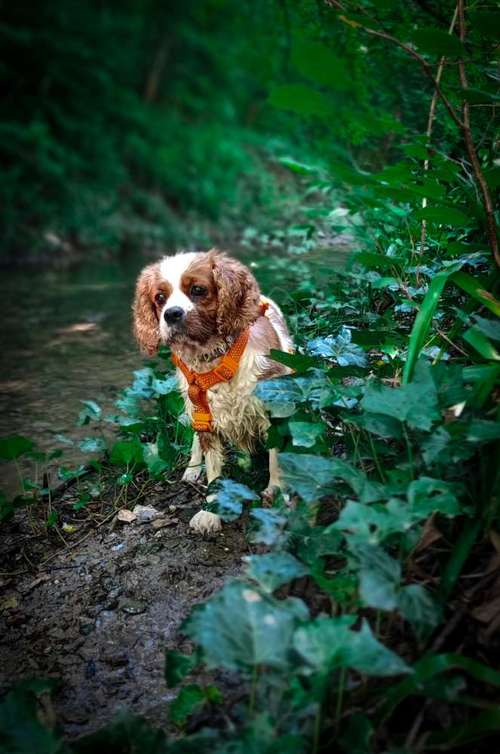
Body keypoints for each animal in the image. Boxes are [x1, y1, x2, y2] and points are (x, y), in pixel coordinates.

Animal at [133, 250, 292, 532]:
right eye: (159, 298)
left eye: (198, 290)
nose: (171, 314)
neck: (215, 358)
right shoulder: (206, 415)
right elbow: (214, 472)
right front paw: (211, 512)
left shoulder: (272, 409)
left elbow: (276, 458)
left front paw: (275, 490)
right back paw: (192, 467)